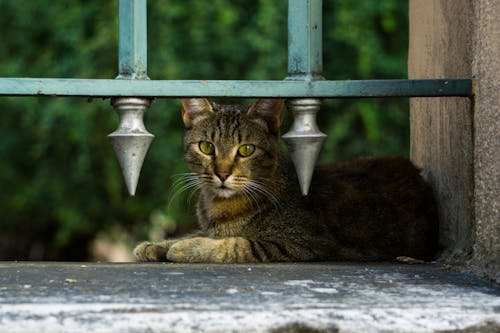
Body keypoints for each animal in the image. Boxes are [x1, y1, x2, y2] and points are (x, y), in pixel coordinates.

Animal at [135, 98, 440, 262]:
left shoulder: (302, 244)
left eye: (246, 150)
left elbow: (236, 245)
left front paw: (185, 248)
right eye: (207, 147)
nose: (222, 173)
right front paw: (156, 245)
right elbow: (195, 232)